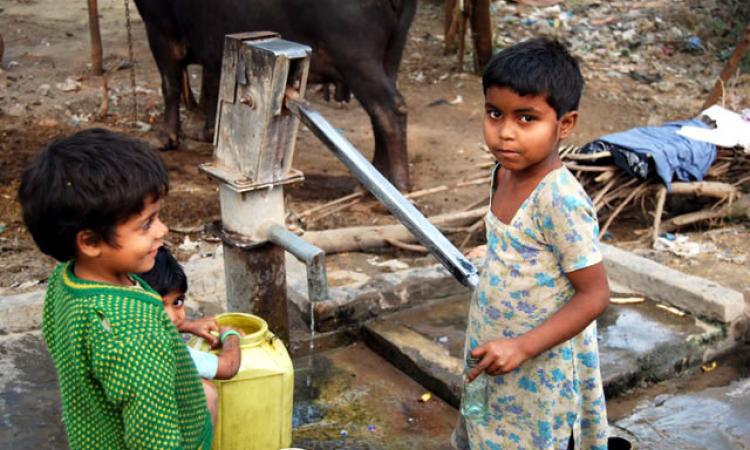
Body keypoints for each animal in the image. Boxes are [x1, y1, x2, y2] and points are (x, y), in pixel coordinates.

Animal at [134, 0, 418, 191]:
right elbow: (214, 83)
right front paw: (207, 133)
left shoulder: (160, 29)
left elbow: (170, 83)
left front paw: (165, 137)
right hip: (391, 55)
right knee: (380, 114)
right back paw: (377, 178)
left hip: (356, 59)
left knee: (390, 109)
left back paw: (396, 185)